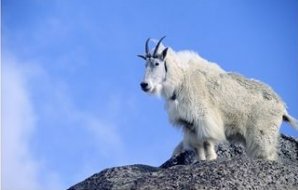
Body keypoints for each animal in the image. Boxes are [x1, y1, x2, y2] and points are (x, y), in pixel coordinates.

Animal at [138, 36, 298, 160]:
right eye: (145, 64)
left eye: (156, 63)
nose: (144, 85)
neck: (180, 79)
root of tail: (283, 108)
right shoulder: (189, 123)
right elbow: (197, 145)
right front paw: (200, 160)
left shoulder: (204, 117)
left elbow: (207, 141)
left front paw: (211, 158)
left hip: (262, 133)